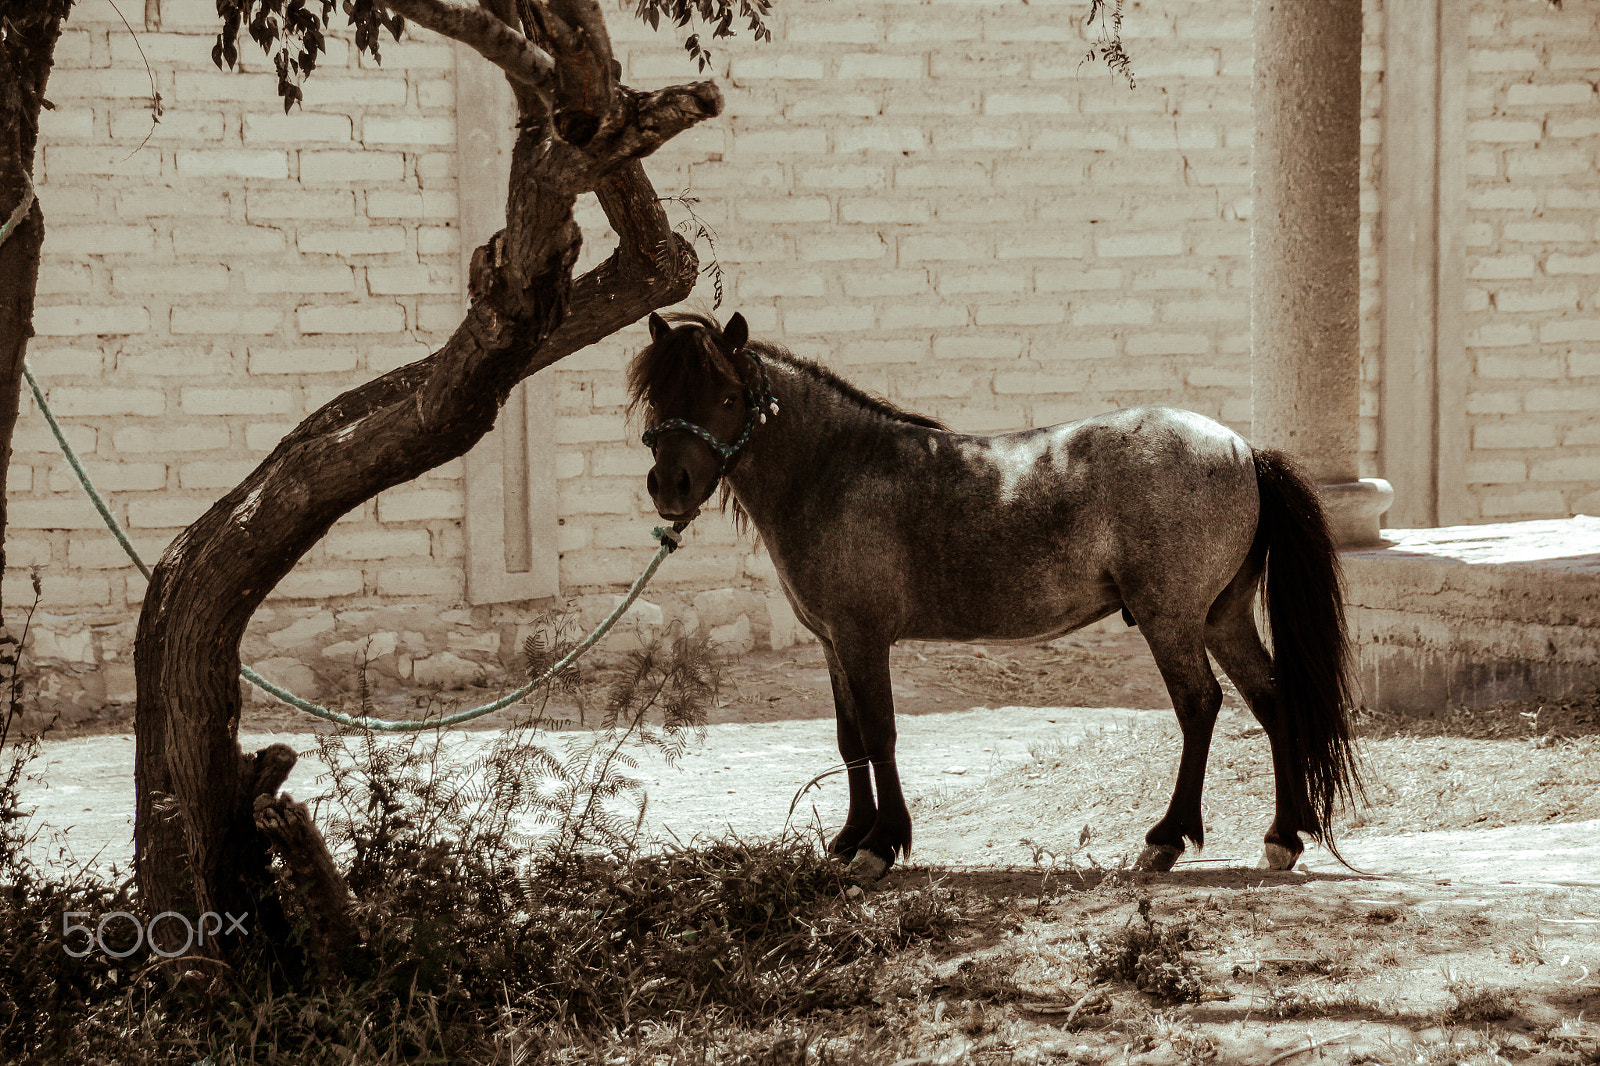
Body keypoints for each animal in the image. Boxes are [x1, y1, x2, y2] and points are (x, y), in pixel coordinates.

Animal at [627, 310, 1363, 880]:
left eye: (727, 398)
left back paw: (1165, 840)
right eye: (659, 399)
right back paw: (1283, 836)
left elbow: (881, 731)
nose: (670, 486)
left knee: (1200, 705)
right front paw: (849, 838)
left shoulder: (864, 639)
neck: (835, 472)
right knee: (1272, 699)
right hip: (1220, 617)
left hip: (1171, 618)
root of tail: (1242, 449)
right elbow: (849, 737)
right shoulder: (834, 642)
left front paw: (882, 846)